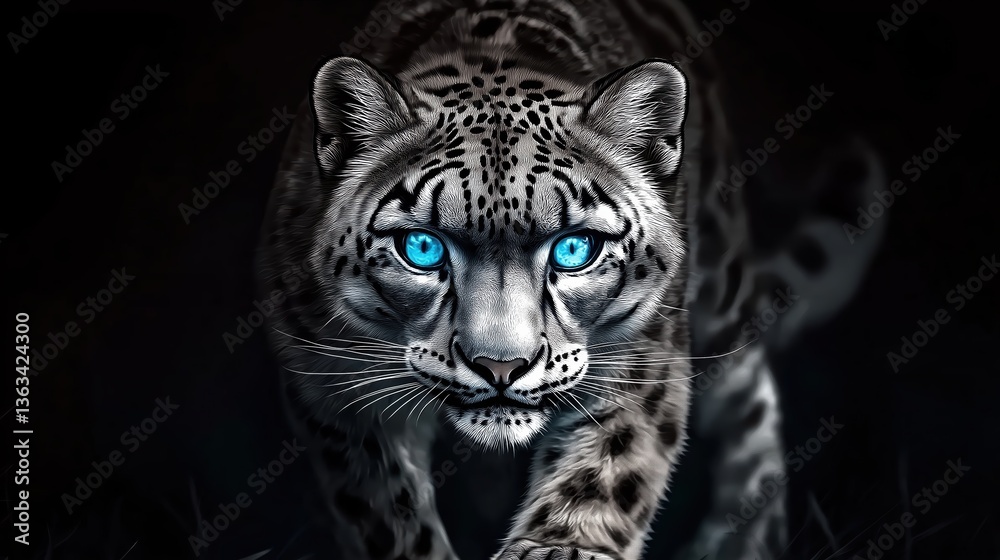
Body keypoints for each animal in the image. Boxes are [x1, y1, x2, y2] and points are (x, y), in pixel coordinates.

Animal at [255, 1, 886, 558]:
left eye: (575, 248)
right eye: (422, 247)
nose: (501, 367)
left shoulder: (639, 364)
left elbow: (603, 480)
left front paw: (558, 548)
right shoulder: (334, 390)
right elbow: (389, 515)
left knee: (751, 397)